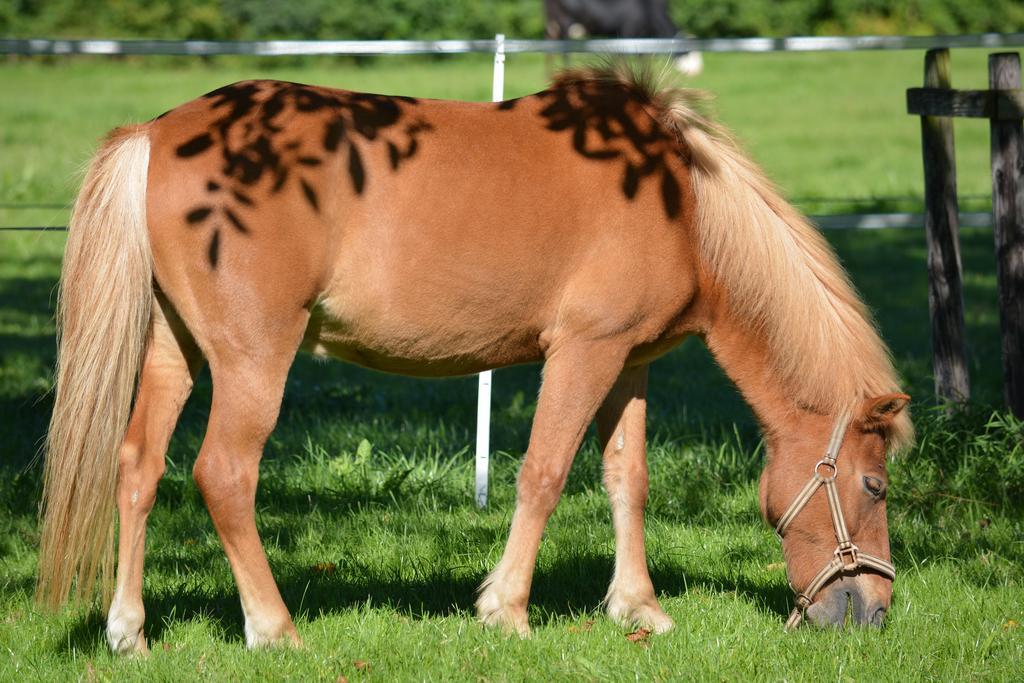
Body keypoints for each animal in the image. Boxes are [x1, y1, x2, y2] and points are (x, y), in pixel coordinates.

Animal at [36, 62, 913, 651]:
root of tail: (157, 134)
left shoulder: (630, 362)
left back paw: (129, 631)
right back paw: (274, 628)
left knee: (138, 467)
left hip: (174, 350)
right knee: (223, 474)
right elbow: (545, 473)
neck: (683, 205)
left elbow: (627, 478)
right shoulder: (583, 352)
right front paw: (508, 611)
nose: (873, 612)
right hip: (254, 357)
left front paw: (639, 607)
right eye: (873, 485)